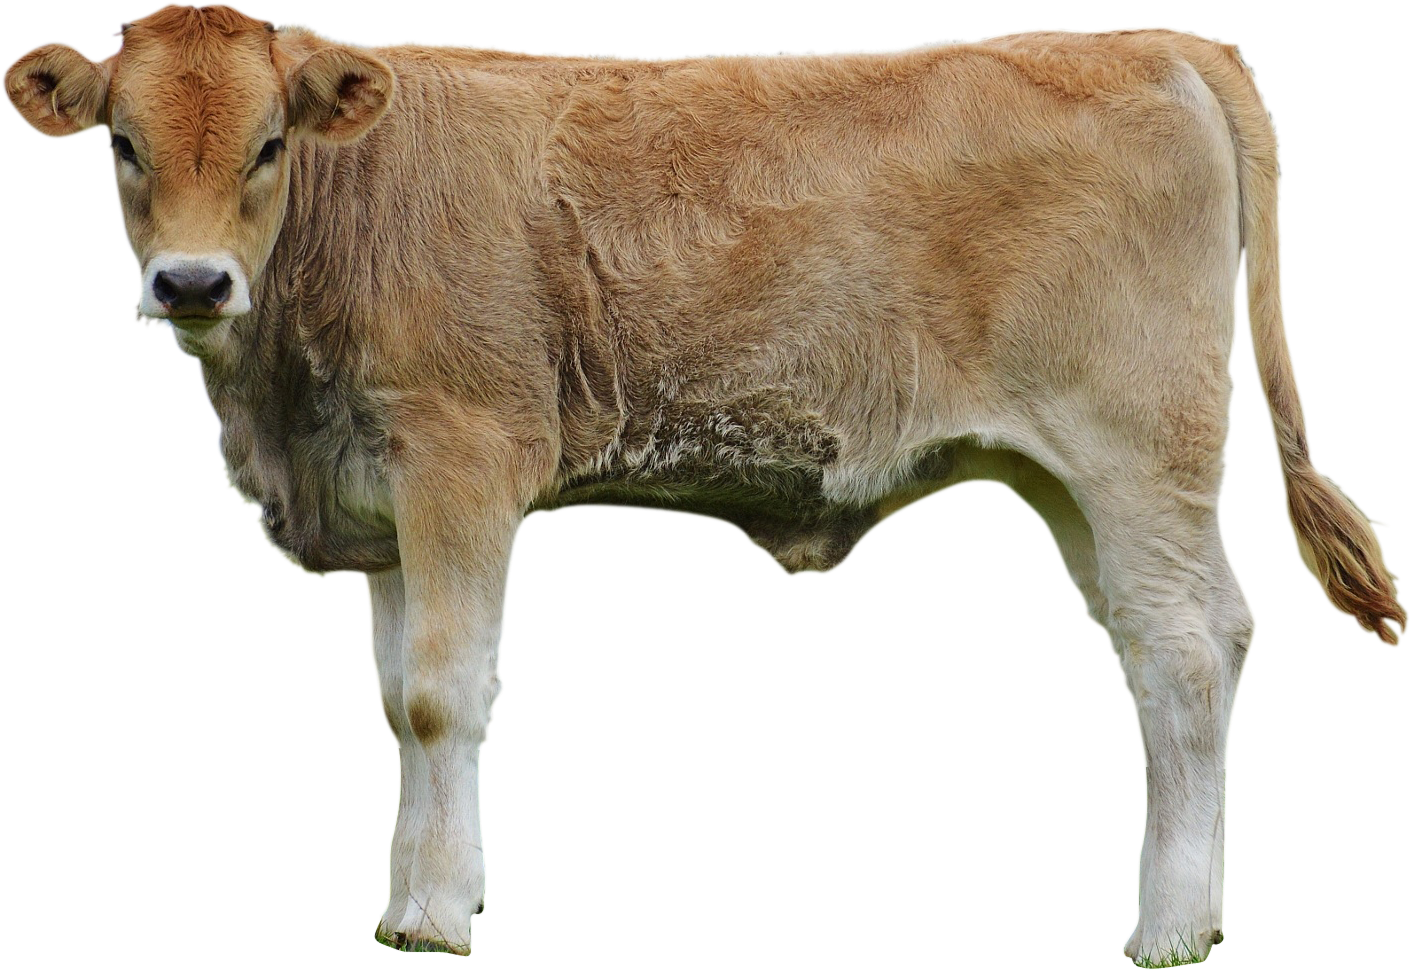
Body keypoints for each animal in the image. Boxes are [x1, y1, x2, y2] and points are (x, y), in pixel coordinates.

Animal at [5, 4, 1403, 964]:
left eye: (269, 145)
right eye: (123, 145)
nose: (192, 283)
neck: (283, 399)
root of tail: (1149, 40)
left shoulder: (464, 456)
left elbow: (449, 695)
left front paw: (443, 909)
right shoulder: (383, 498)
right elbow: (399, 702)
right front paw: (406, 900)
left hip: (1138, 446)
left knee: (1188, 647)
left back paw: (1171, 926)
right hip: (1068, 475)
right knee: (1156, 638)